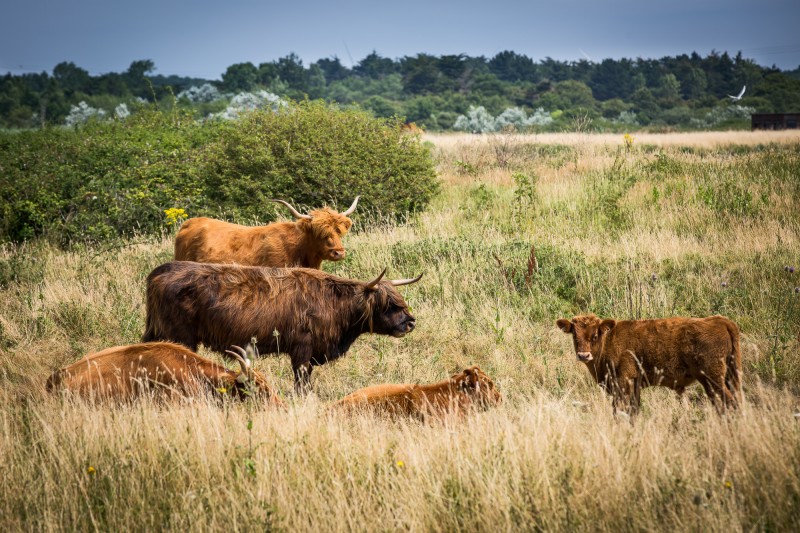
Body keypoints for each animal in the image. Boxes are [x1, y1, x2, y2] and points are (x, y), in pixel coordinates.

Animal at [556, 314, 744, 414]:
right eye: (574, 335)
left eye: (595, 335)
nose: (583, 355)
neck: (609, 340)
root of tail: (720, 320)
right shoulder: (635, 385)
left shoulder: (623, 382)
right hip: (719, 378)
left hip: (714, 377)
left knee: (730, 401)